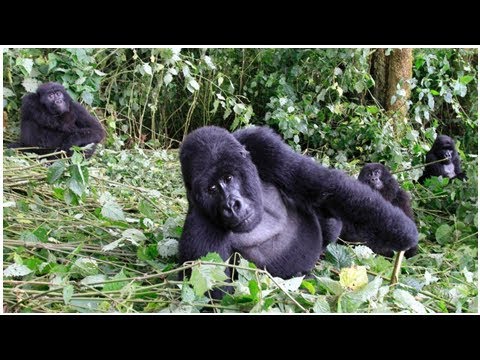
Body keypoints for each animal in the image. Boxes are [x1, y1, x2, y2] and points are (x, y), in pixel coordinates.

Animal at [178, 126, 418, 298]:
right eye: (212, 189)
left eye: (229, 178)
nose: (231, 205)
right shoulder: (200, 234)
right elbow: (218, 296)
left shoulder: (261, 143)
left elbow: (324, 186)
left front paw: (403, 233)